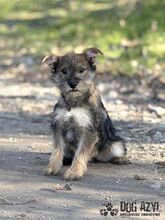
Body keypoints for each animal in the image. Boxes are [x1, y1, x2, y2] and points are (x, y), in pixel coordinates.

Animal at [42, 48, 128, 180]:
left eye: (81, 70)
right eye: (64, 71)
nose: (73, 84)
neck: (74, 100)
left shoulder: (88, 130)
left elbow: (80, 153)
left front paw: (74, 172)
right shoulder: (58, 125)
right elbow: (57, 149)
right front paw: (52, 167)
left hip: (116, 144)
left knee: (113, 153)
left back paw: (120, 159)